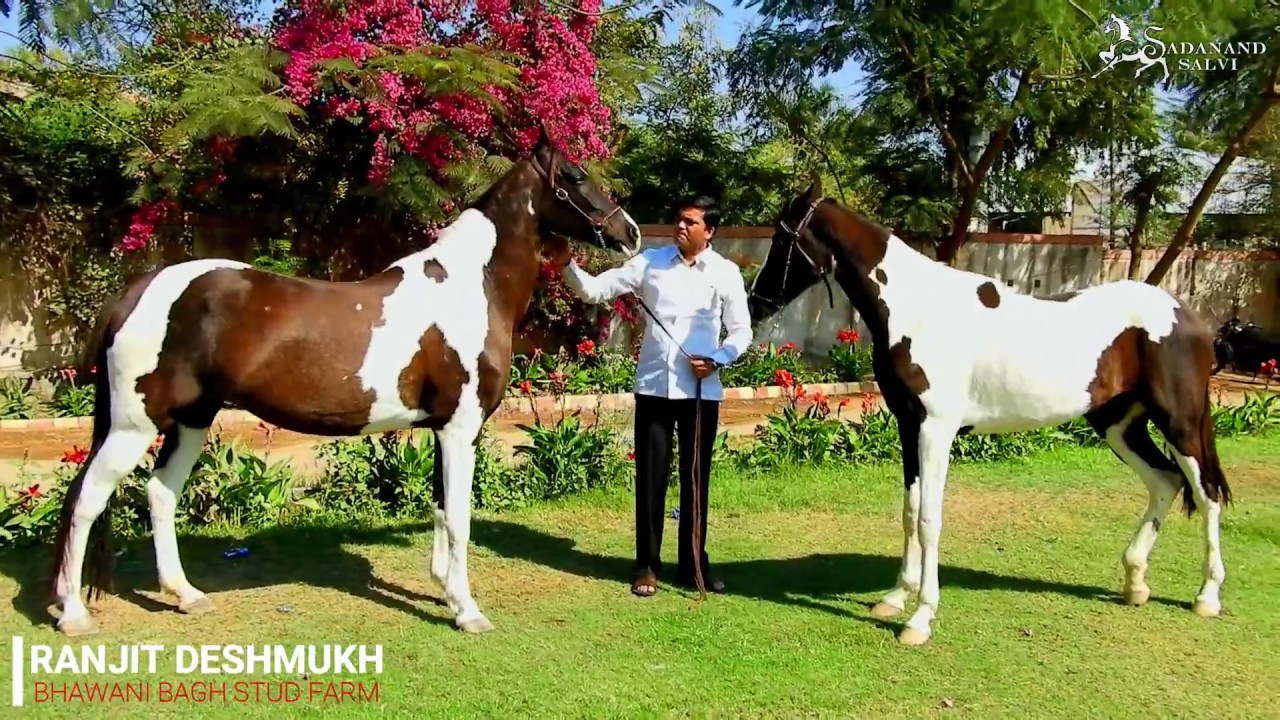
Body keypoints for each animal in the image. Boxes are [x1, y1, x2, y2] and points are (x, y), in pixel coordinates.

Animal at [46, 127, 643, 637]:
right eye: (576, 176)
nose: (630, 231)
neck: (470, 288)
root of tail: (139, 289)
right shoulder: (460, 427)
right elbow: (458, 516)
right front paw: (468, 611)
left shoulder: (440, 429)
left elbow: (437, 507)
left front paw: (444, 591)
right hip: (133, 426)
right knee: (85, 500)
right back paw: (74, 614)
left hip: (191, 420)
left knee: (160, 493)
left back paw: (186, 595)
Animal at [745, 179, 1230, 647]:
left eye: (782, 237)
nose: (755, 304)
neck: (918, 312)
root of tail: (1185, 314)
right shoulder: (909, 427)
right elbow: (910, 511)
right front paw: (896, 597)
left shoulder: (936, 431)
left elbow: (929, 519)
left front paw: (921, 617)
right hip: (1118, 425)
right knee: (1165, 481)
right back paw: (1135, 583)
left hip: (1179, 423)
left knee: (1206, 494)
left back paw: (1206, 595)